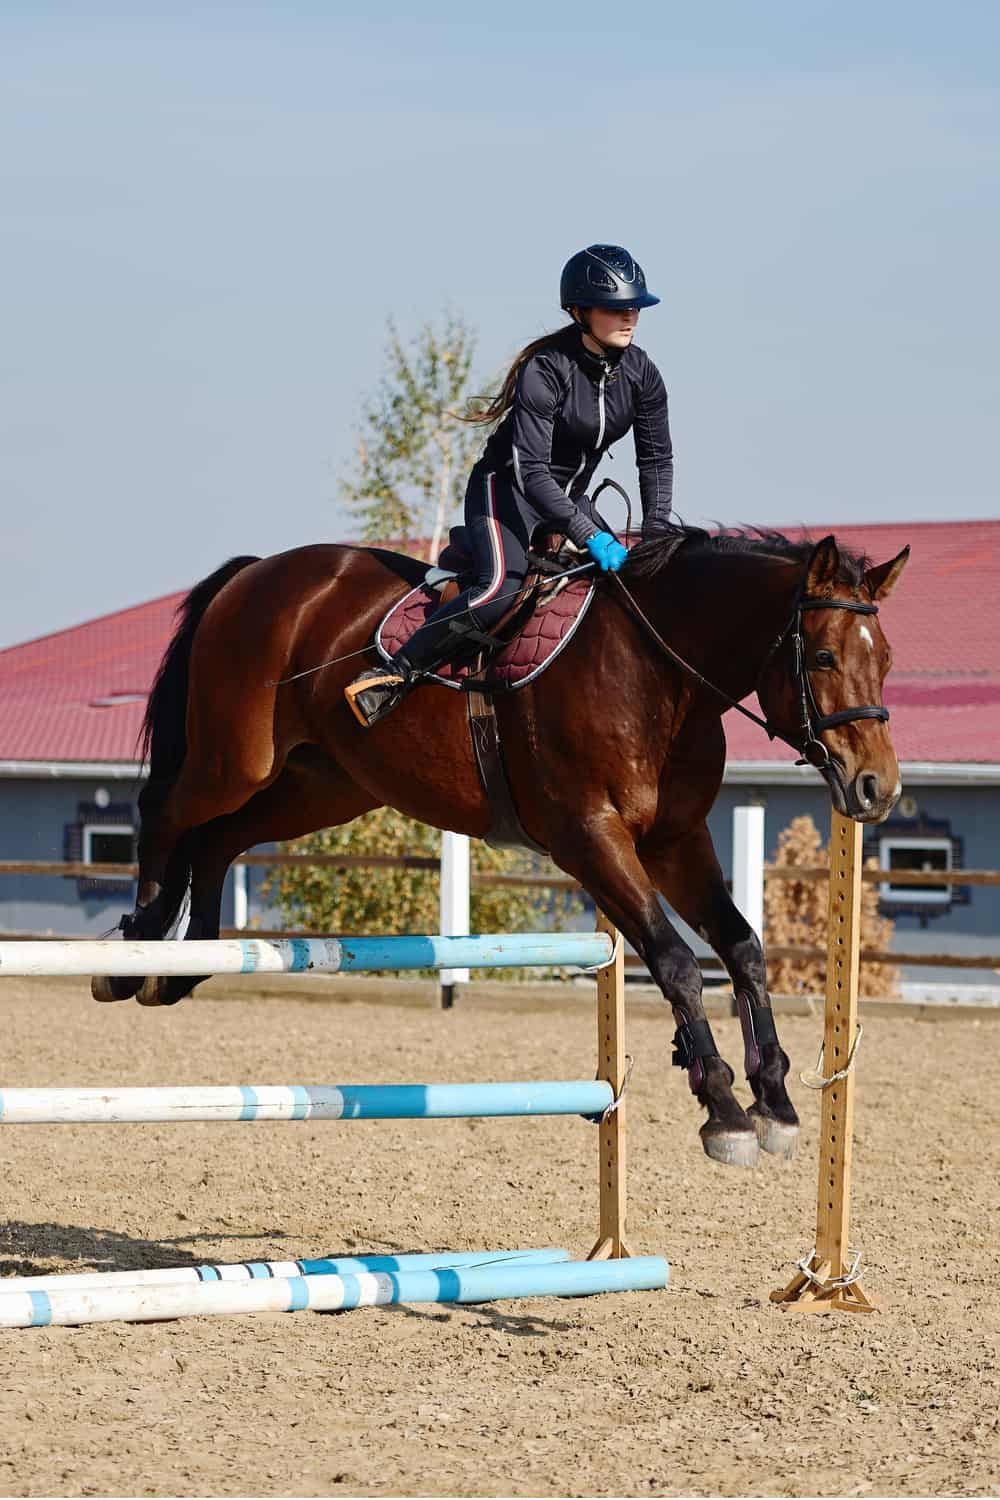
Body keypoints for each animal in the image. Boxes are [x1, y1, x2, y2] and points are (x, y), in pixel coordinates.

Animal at [94, 526, 908, 1170]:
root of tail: (257, 572)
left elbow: (742, 948)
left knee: (219, 837)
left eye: (888, 661)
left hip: (322, 786)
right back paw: (133, 953)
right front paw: (723, 1108)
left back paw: (184, 965)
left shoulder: (677, 842)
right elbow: (676, 961)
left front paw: (775, 1100)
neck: (660, 676)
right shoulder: (591, 838)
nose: (877, 788)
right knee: (165, 812)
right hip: (236, 760)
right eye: (825, 658)